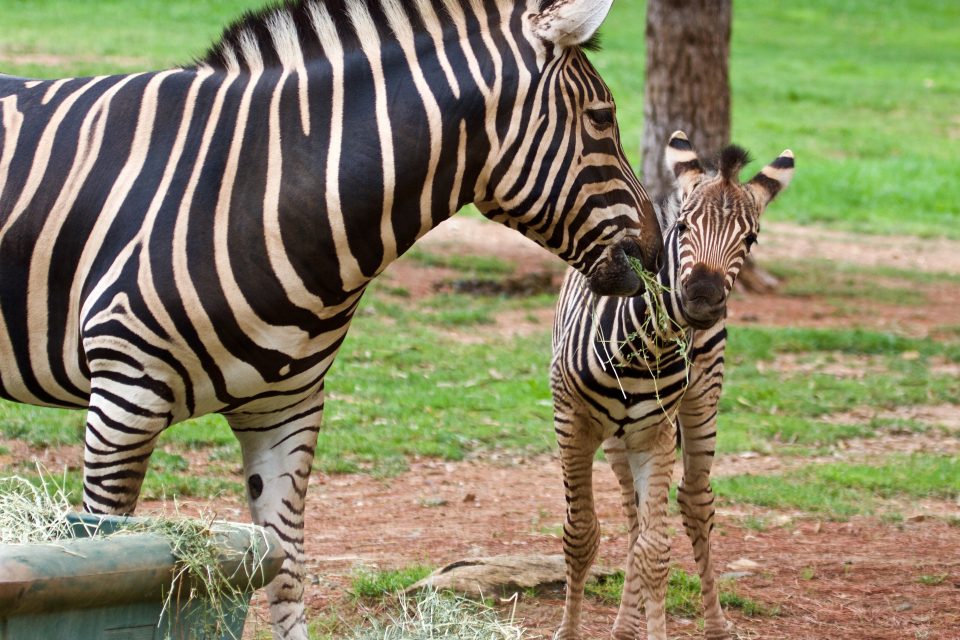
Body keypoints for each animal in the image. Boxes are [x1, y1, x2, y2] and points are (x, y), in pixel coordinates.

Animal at [0, 1, 664, 636]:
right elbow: (108, 554)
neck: (259, 194)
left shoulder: (284, 409)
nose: (655, 255)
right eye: (602, 118)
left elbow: (285, 568)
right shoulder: (125, 396)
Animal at [552, 131, 792, 640]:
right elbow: (581, 534)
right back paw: (624, 625)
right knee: (630, 513)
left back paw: (715, 625)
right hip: (616, 438)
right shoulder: (572, 423)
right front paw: (570, 631)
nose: (702, 295)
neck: (643, 344)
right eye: (682, 228)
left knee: (695, 502)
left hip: (702, 402)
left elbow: (654, 552)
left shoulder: (657, 432)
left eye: (751, 238)